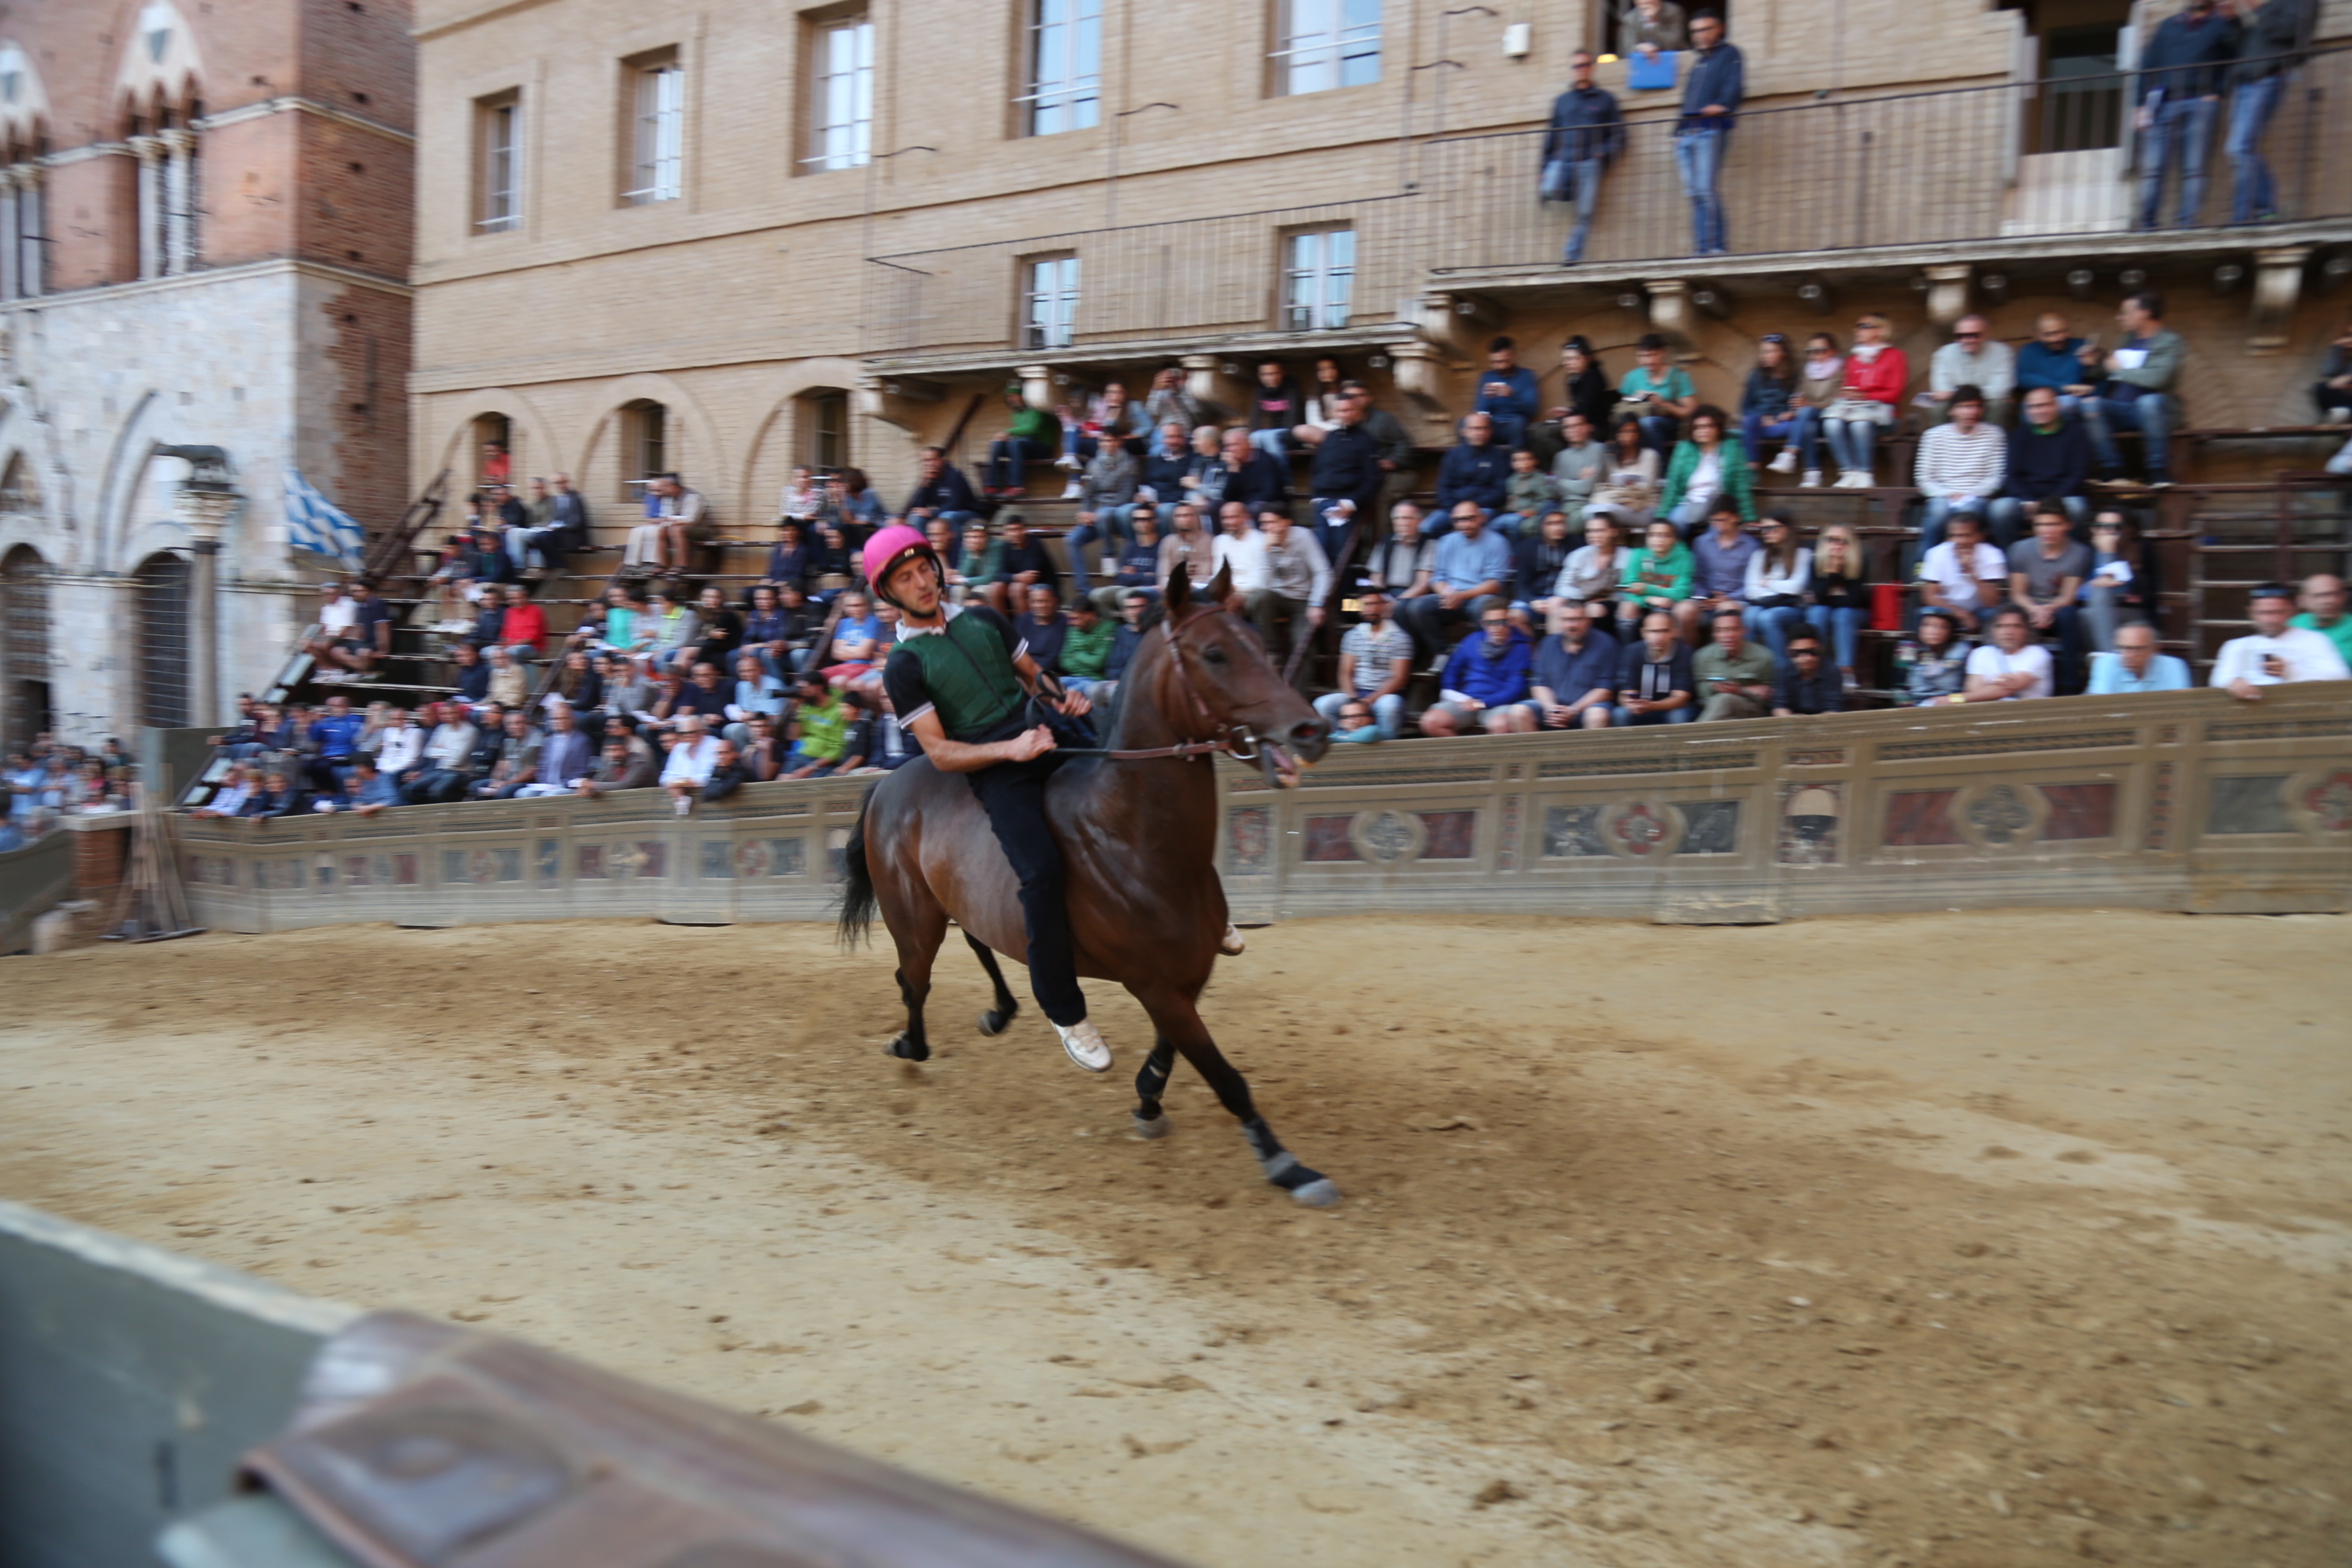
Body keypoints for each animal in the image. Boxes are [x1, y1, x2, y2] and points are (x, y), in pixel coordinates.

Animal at [837, 562, 1341, 1205]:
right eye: (1215, 653)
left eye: (1258, 641)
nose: (1311, 730)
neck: (1133, 839)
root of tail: (888, 783)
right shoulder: (1153, 983)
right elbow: (1223, 1075)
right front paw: (1288, 1165)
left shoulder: (1188, 974)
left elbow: (1172, 1047)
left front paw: (1148, 1098)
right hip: (914, 920)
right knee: (913, 983)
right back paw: (911, 1044)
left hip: (958, 901)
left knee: (976, 941)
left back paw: (1000, 1011)